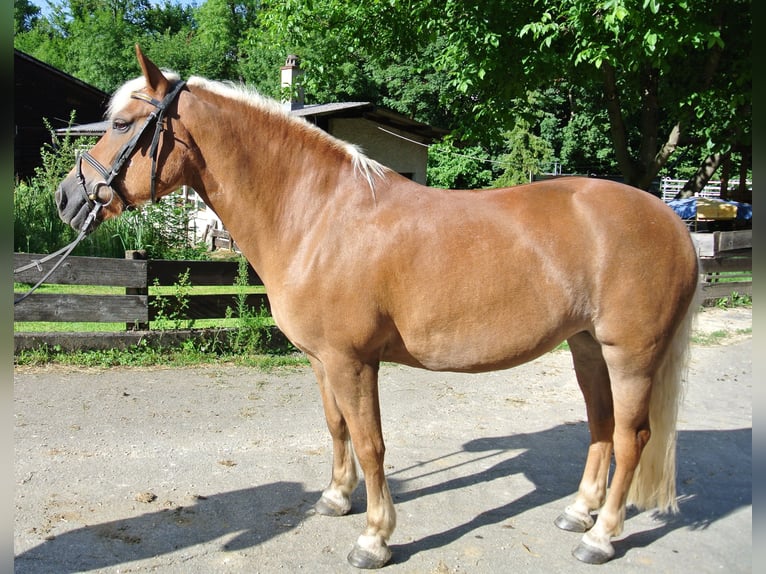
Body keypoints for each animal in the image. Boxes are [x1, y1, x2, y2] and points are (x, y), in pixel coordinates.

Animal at [54, 46, 704, 572]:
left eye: (121, 124)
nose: (66, 197)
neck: (317, 215)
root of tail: (672, 220)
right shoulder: (323, 362)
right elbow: (337, 428)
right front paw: (336, 498)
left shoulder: (353, 362)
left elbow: (371, 445)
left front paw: (374, 538)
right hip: (587, 347)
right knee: (601, 427)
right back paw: (578, 512)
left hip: (631, 354)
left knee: (632, 436)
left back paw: (601, 537)